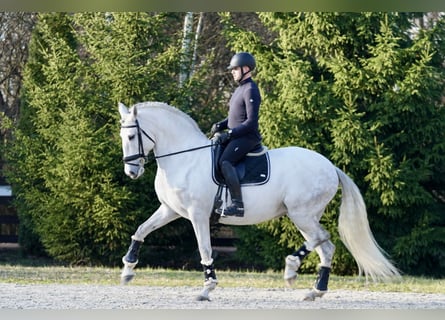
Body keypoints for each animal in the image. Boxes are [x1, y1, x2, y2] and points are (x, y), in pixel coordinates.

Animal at [117, 101, 398, 302]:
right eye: (121, 137)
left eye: (131, 137)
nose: (131, 172)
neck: (184, 158)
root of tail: (330, 166)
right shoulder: (170, 210)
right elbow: (141, 230)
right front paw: (128, 269)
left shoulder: (198, 215)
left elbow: (205, 249)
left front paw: (207, 288)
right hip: (306, 217)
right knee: (325, 247)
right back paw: (315, 291)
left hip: (302, 215)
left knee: (323, 239)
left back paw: (291, 268)